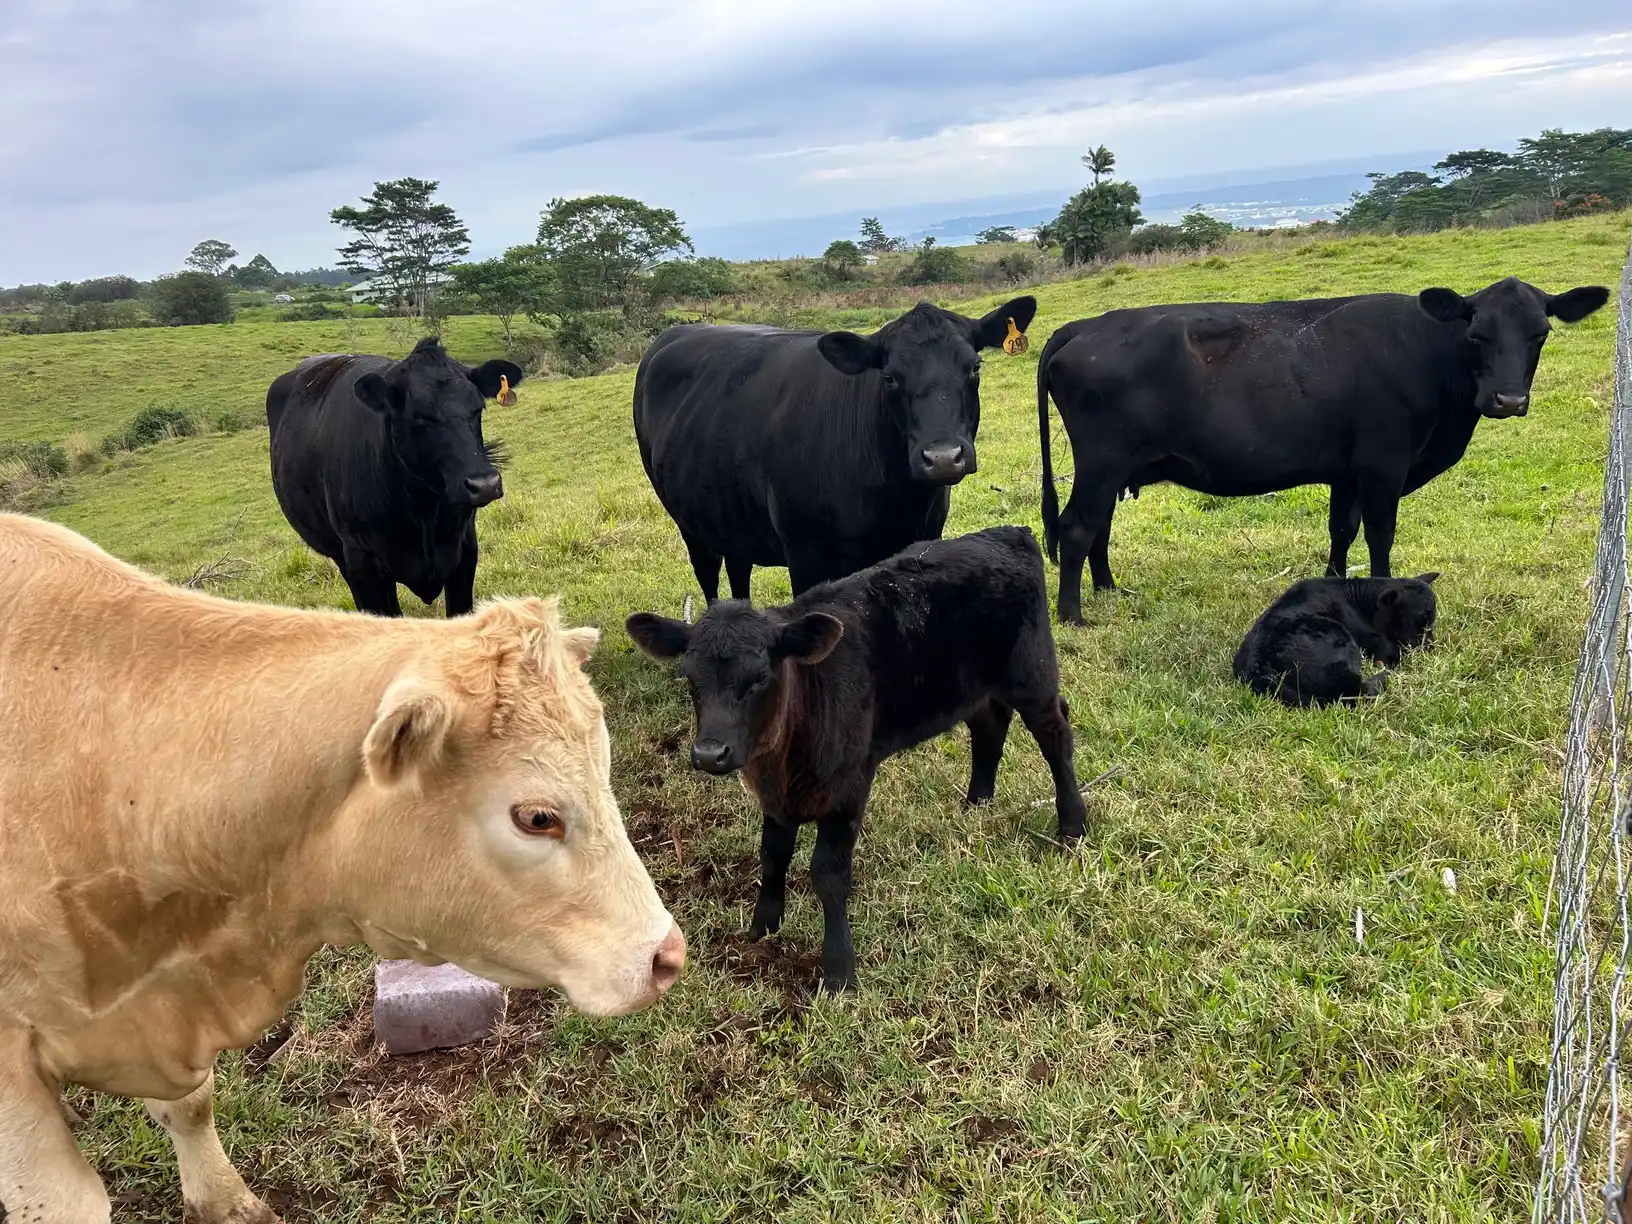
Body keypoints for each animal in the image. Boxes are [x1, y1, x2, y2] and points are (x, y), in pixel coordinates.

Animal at [266, 336, 524, 617]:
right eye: (418, 415)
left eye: (478, 408)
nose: (485, 485)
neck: (423, 512)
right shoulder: (362, 562)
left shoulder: (465, 550)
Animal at [626, 526, 1088, 992]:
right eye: (689, 677)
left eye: (759, 677)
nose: (709, 753)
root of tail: (1009, 533)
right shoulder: (776, 796)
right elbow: (772, 853)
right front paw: (764, 925)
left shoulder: (849, 785)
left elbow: (829, 874)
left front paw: (838, 968)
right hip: (970, 687)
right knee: (990, 724)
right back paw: (977, 801)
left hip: (1032, 674)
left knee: (1056, 738)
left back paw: (1072, 824)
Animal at [634, 296, 1037, 600]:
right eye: (890, 377)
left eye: (975, 367)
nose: (942, 458)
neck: (894, 501)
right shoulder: (806, 555)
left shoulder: (924, 539)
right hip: (687, 520)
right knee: (709, 575)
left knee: (738, 569)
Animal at [1036, 276, 1609, 623]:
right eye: (1476, 335)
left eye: (1540, 334)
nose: (1507, 399)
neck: (1426, 351)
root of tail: (1086, 325)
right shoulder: (1383, 465)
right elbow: (1379, 535)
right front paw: (1382, 592)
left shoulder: (1347, 471)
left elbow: (1342, 530)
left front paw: (1334, 587)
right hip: (1102, 461)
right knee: (1077, 527)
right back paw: (1072, 615)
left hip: (1114, 467)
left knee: (1098, 527)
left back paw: (1109, 590)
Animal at [1233, 573, 1439, 707]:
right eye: (1418, 620)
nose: (1430, 647)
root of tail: (1259, 663)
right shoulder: (1381, 645)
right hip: (1341, 641)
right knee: (1356, 692)